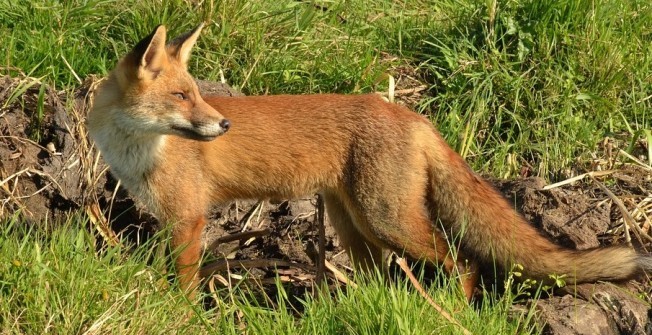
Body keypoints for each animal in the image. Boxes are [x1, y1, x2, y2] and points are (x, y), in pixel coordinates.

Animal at [88, 25, 652, 300]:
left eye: (196, 94)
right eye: (182, 96)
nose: (223, 125)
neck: (138, 150)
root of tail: (408, 112)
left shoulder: (188, 218)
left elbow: (183, 285)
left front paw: (181, 313)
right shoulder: (172, 219)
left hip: (388, 220)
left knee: (463, 262)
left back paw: (453, 309)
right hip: (354, 225)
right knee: (383, 278)